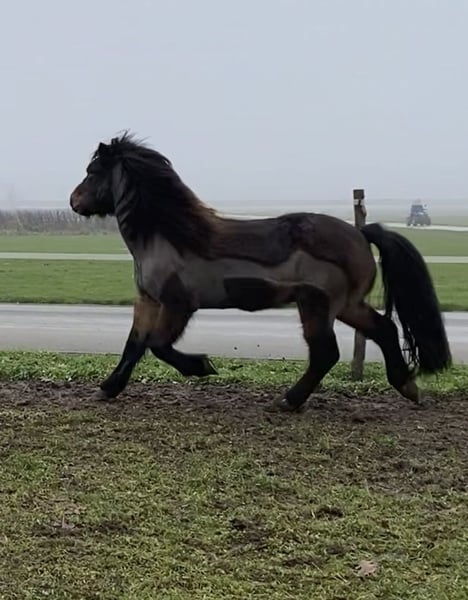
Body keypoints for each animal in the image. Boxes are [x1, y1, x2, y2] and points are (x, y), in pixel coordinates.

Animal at [69, 132, 451, 411]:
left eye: (92, 172)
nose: (74, 201)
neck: (167, 237)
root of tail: (360, 232)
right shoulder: (147, 301)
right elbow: (133, 345)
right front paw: (107, 389)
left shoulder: (178, 304)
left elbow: (158, 345)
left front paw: (203, 366)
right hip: (346, 305)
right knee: (384, 330)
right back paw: (408, 387)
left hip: (317, 304)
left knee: (326, 353)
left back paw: (288, 400)